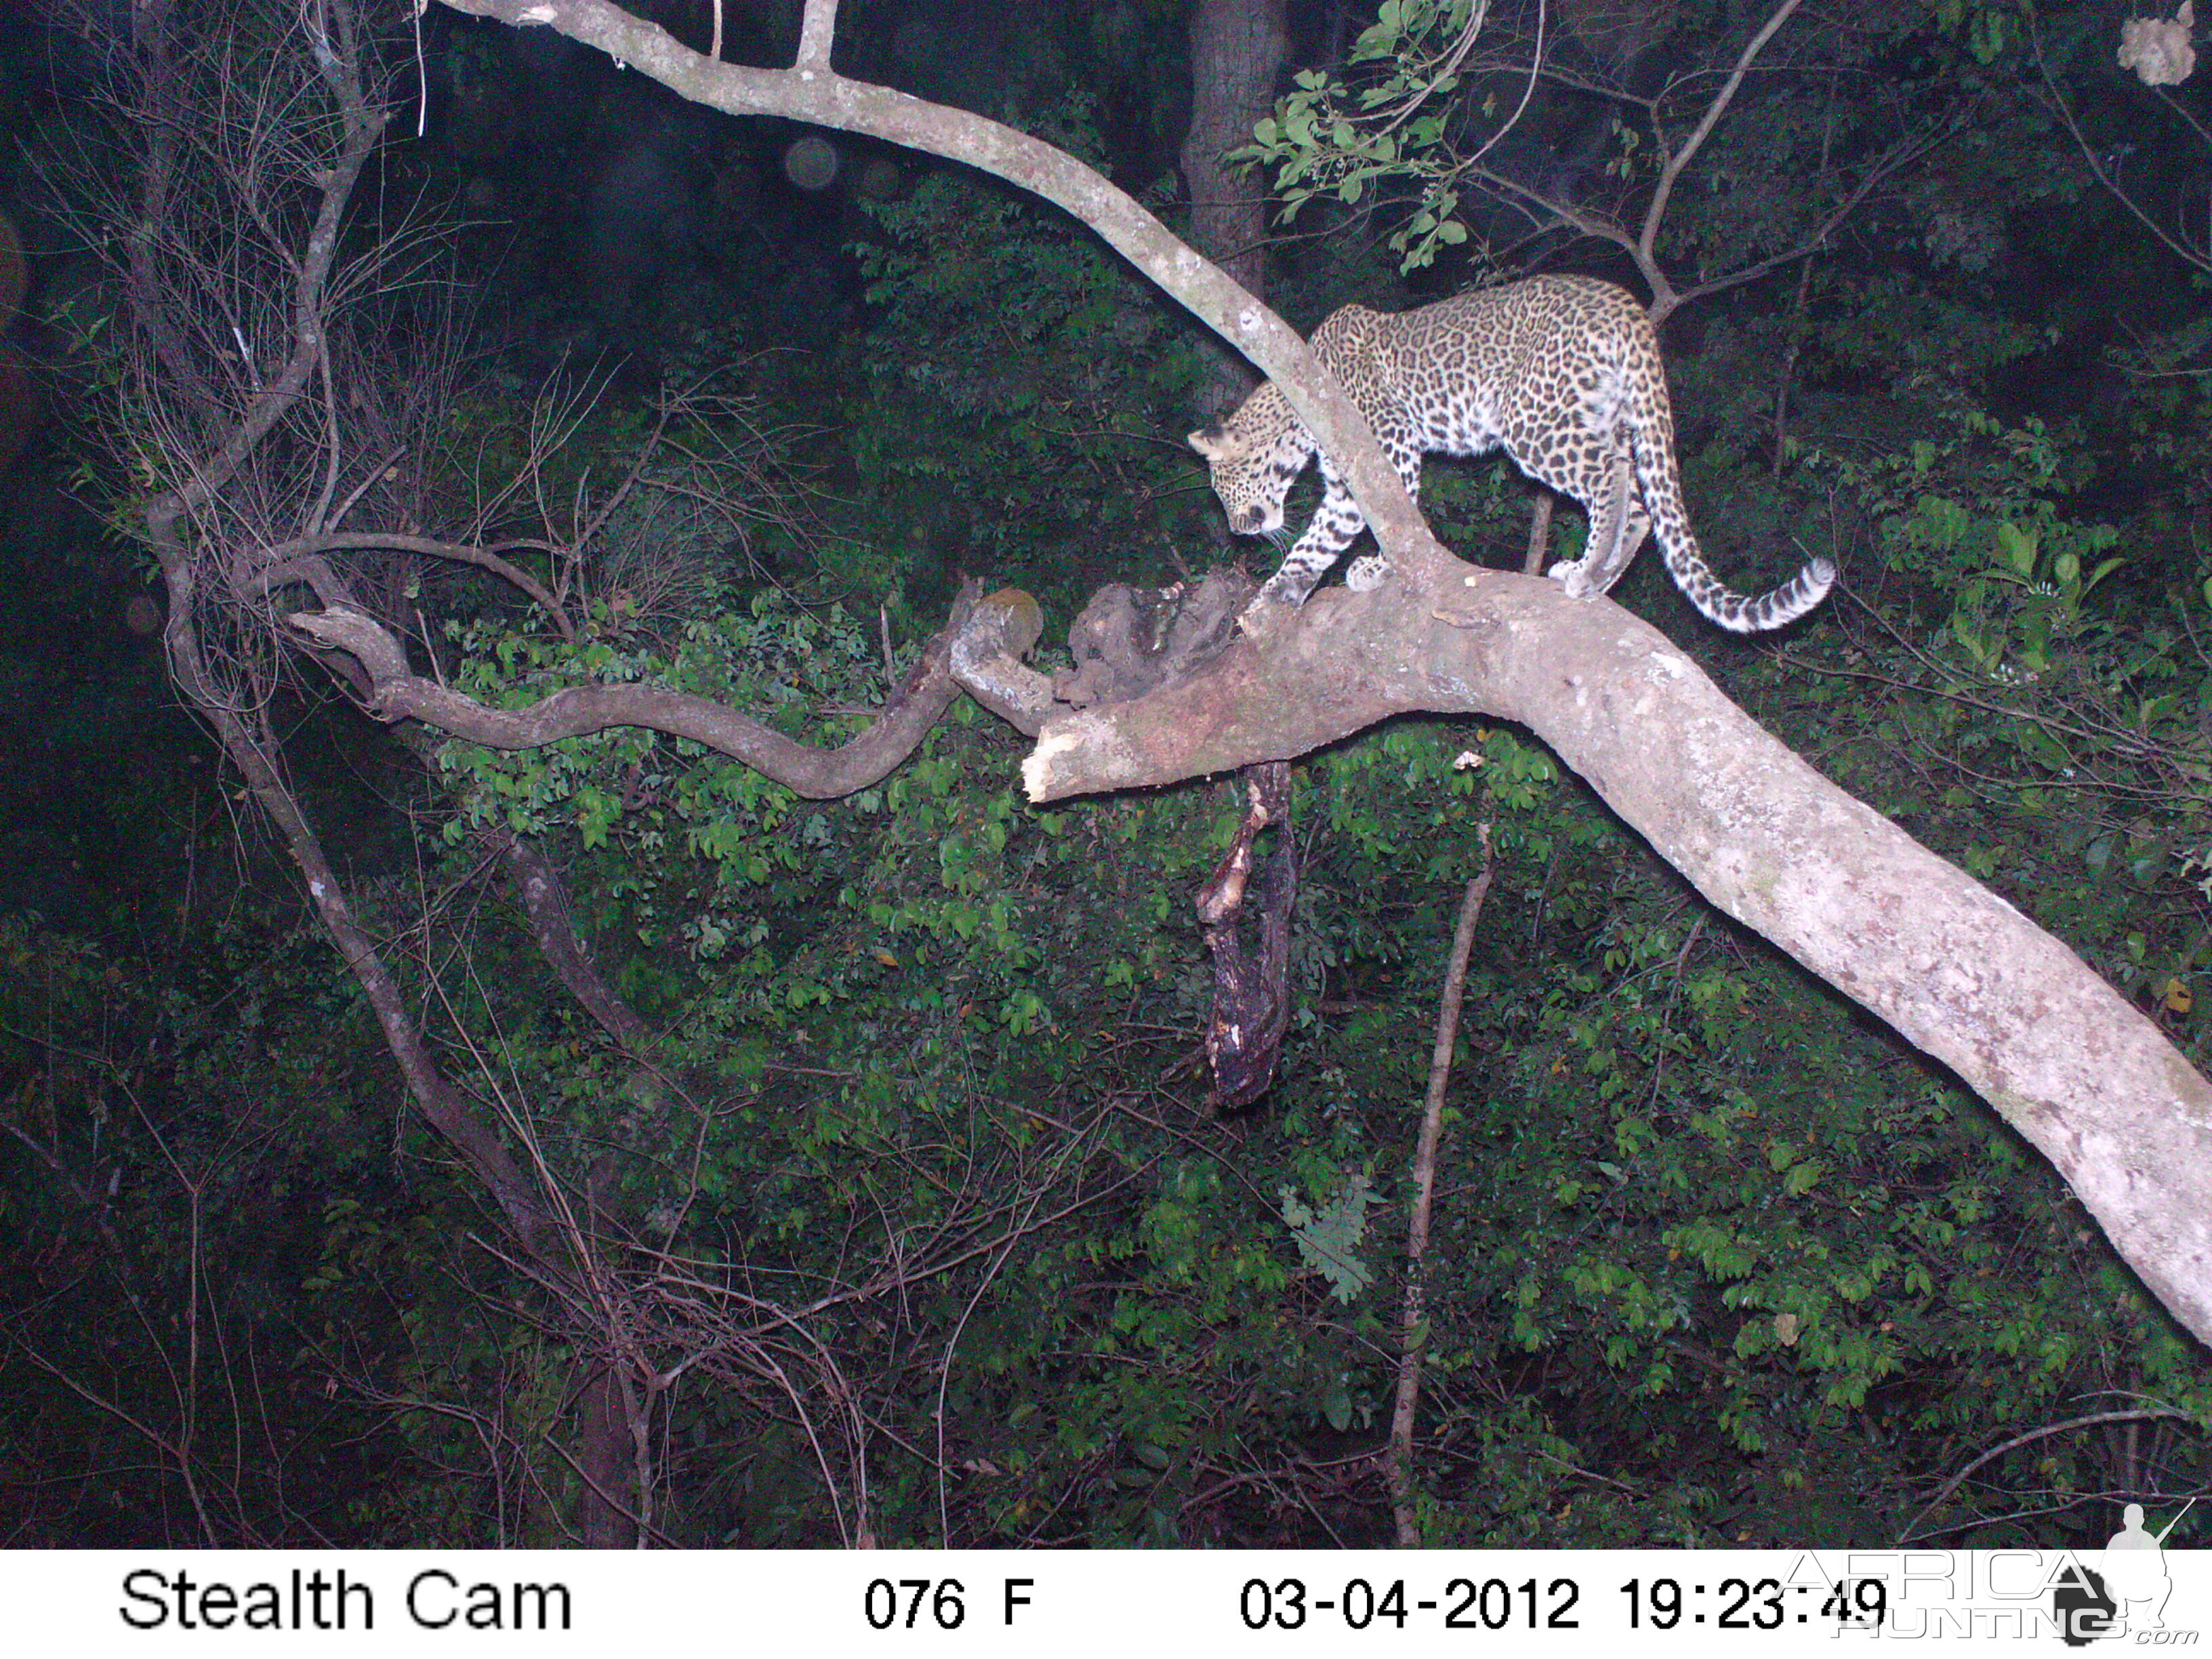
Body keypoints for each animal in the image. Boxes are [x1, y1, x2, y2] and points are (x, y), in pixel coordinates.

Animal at [1185, 273, 1840, 637]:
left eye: (1220, 490)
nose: (1237, 531)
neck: (1295, 417)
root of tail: (1623, 304)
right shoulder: (1349, 483)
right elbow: (1320, 536)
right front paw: (1282, 588)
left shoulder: (1388, 444)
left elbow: (1376, 522)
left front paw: (1378, 569)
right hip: (1606, 413)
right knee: (1643, 501)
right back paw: (1601, 577)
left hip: (1531, 421)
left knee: (1613, 477)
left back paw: (1588, 570)